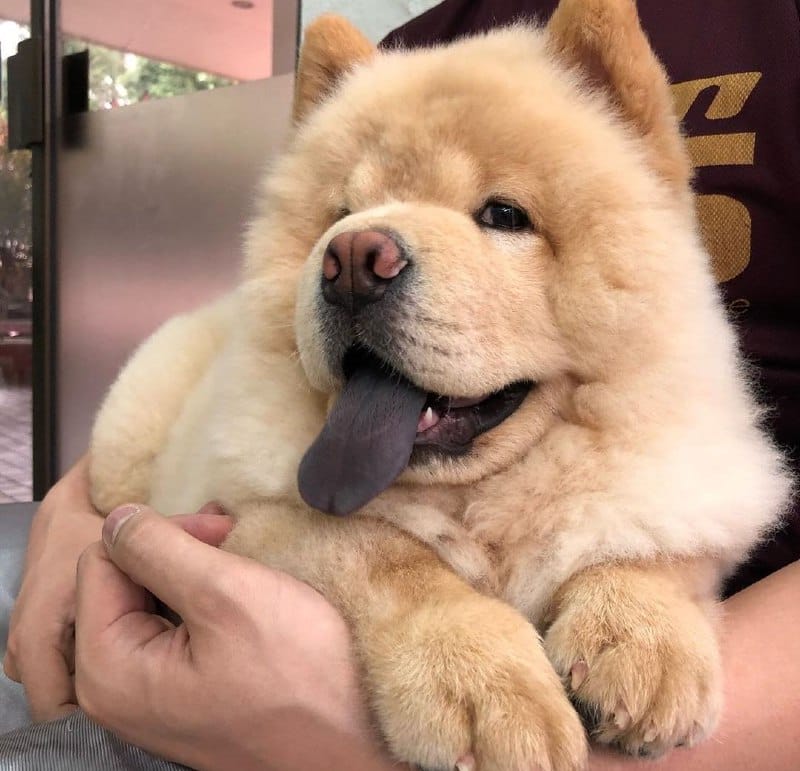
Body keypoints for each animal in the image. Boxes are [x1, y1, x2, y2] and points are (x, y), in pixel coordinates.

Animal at [89, 1, 792, 769]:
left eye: (504, 215)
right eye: (340, 215)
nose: (352, 259)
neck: (476, 501)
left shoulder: (685, 490)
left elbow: (649, 540)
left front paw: (642, 642)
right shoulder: (252, 514)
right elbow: (390, 555)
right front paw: (488, 689)